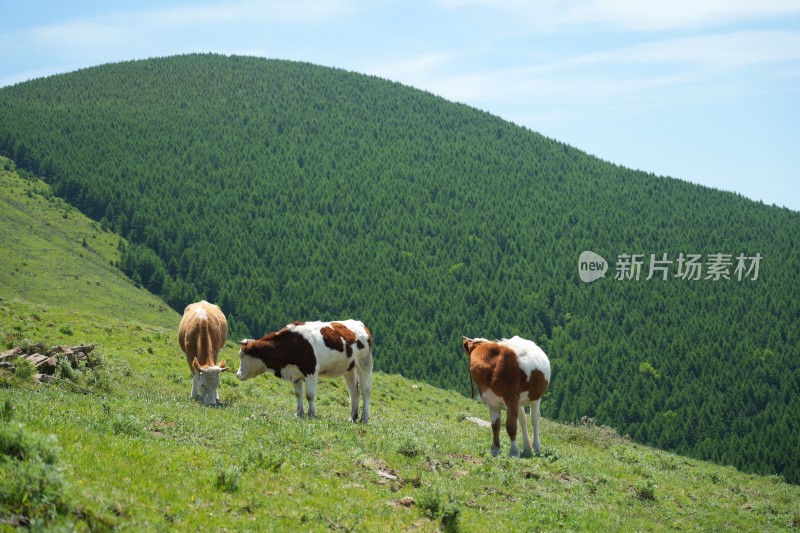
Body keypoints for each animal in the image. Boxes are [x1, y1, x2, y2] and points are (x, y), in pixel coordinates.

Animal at [236, 318, 374, 422]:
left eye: (241, 355)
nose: (238, 375)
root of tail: (360, 324)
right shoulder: (295, 373)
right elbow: (298, 394)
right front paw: (299, 413)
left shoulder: (311, 370)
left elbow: (310, 395)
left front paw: (311, 414)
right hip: (349, 368)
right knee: (354, 391)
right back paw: (352, 417)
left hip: (365, 364)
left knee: (365, 390)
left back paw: (364, 418)